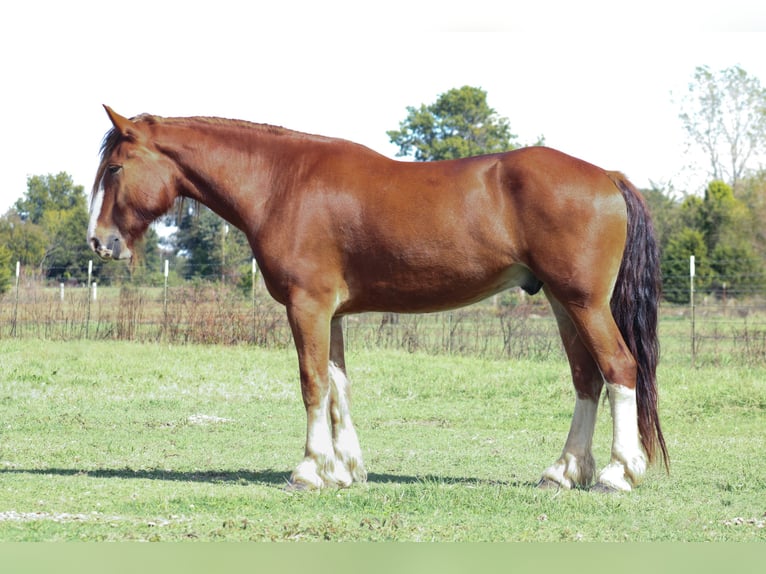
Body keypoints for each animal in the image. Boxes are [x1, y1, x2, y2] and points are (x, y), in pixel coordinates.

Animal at [89, 106, 668, 492]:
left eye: (115, 167)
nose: (100, 242)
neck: (282, 184)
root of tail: (607, 176)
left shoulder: (307, 306)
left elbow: (313, 383)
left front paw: (309, 470)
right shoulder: (331, 314)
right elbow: (338, 386)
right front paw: (345, 469)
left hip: (584, 303)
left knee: (619, 369)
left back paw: (618, 472)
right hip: (562, 304)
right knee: (586, 379)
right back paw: (563, 472)